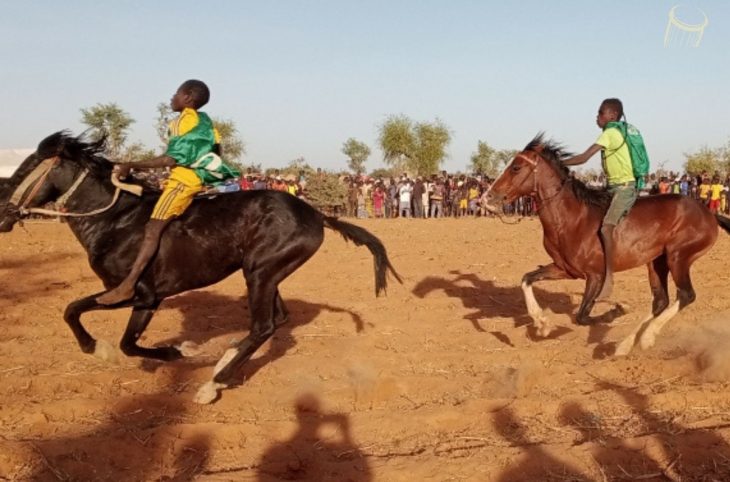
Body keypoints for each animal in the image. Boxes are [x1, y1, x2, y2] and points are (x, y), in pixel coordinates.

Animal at [0, 133, 400, 402]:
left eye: (22, 171)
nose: (3, 212)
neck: (115, 221)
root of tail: (316, 213)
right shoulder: (146, 300)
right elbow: (111, 332)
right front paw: (180, 350)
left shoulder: (135, 294)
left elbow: (88, 319)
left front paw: (154, 351)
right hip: (266, 273)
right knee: (276, 321)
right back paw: (226, 364)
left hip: (260, 273)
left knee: (263, 326)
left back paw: (214, 381)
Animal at [484, 134, 728, 356]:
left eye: (516, 168)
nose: (487, 198)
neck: (572, 218)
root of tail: (709, 213)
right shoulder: (565, 269)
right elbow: (527, 279)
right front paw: (542, 324)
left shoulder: (595, 275)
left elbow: (582, 316)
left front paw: (618, 309)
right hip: (656, 262)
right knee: (661, 301)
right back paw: (625, 346)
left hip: (679, 256)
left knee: (686, 295)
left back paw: (647, 338)